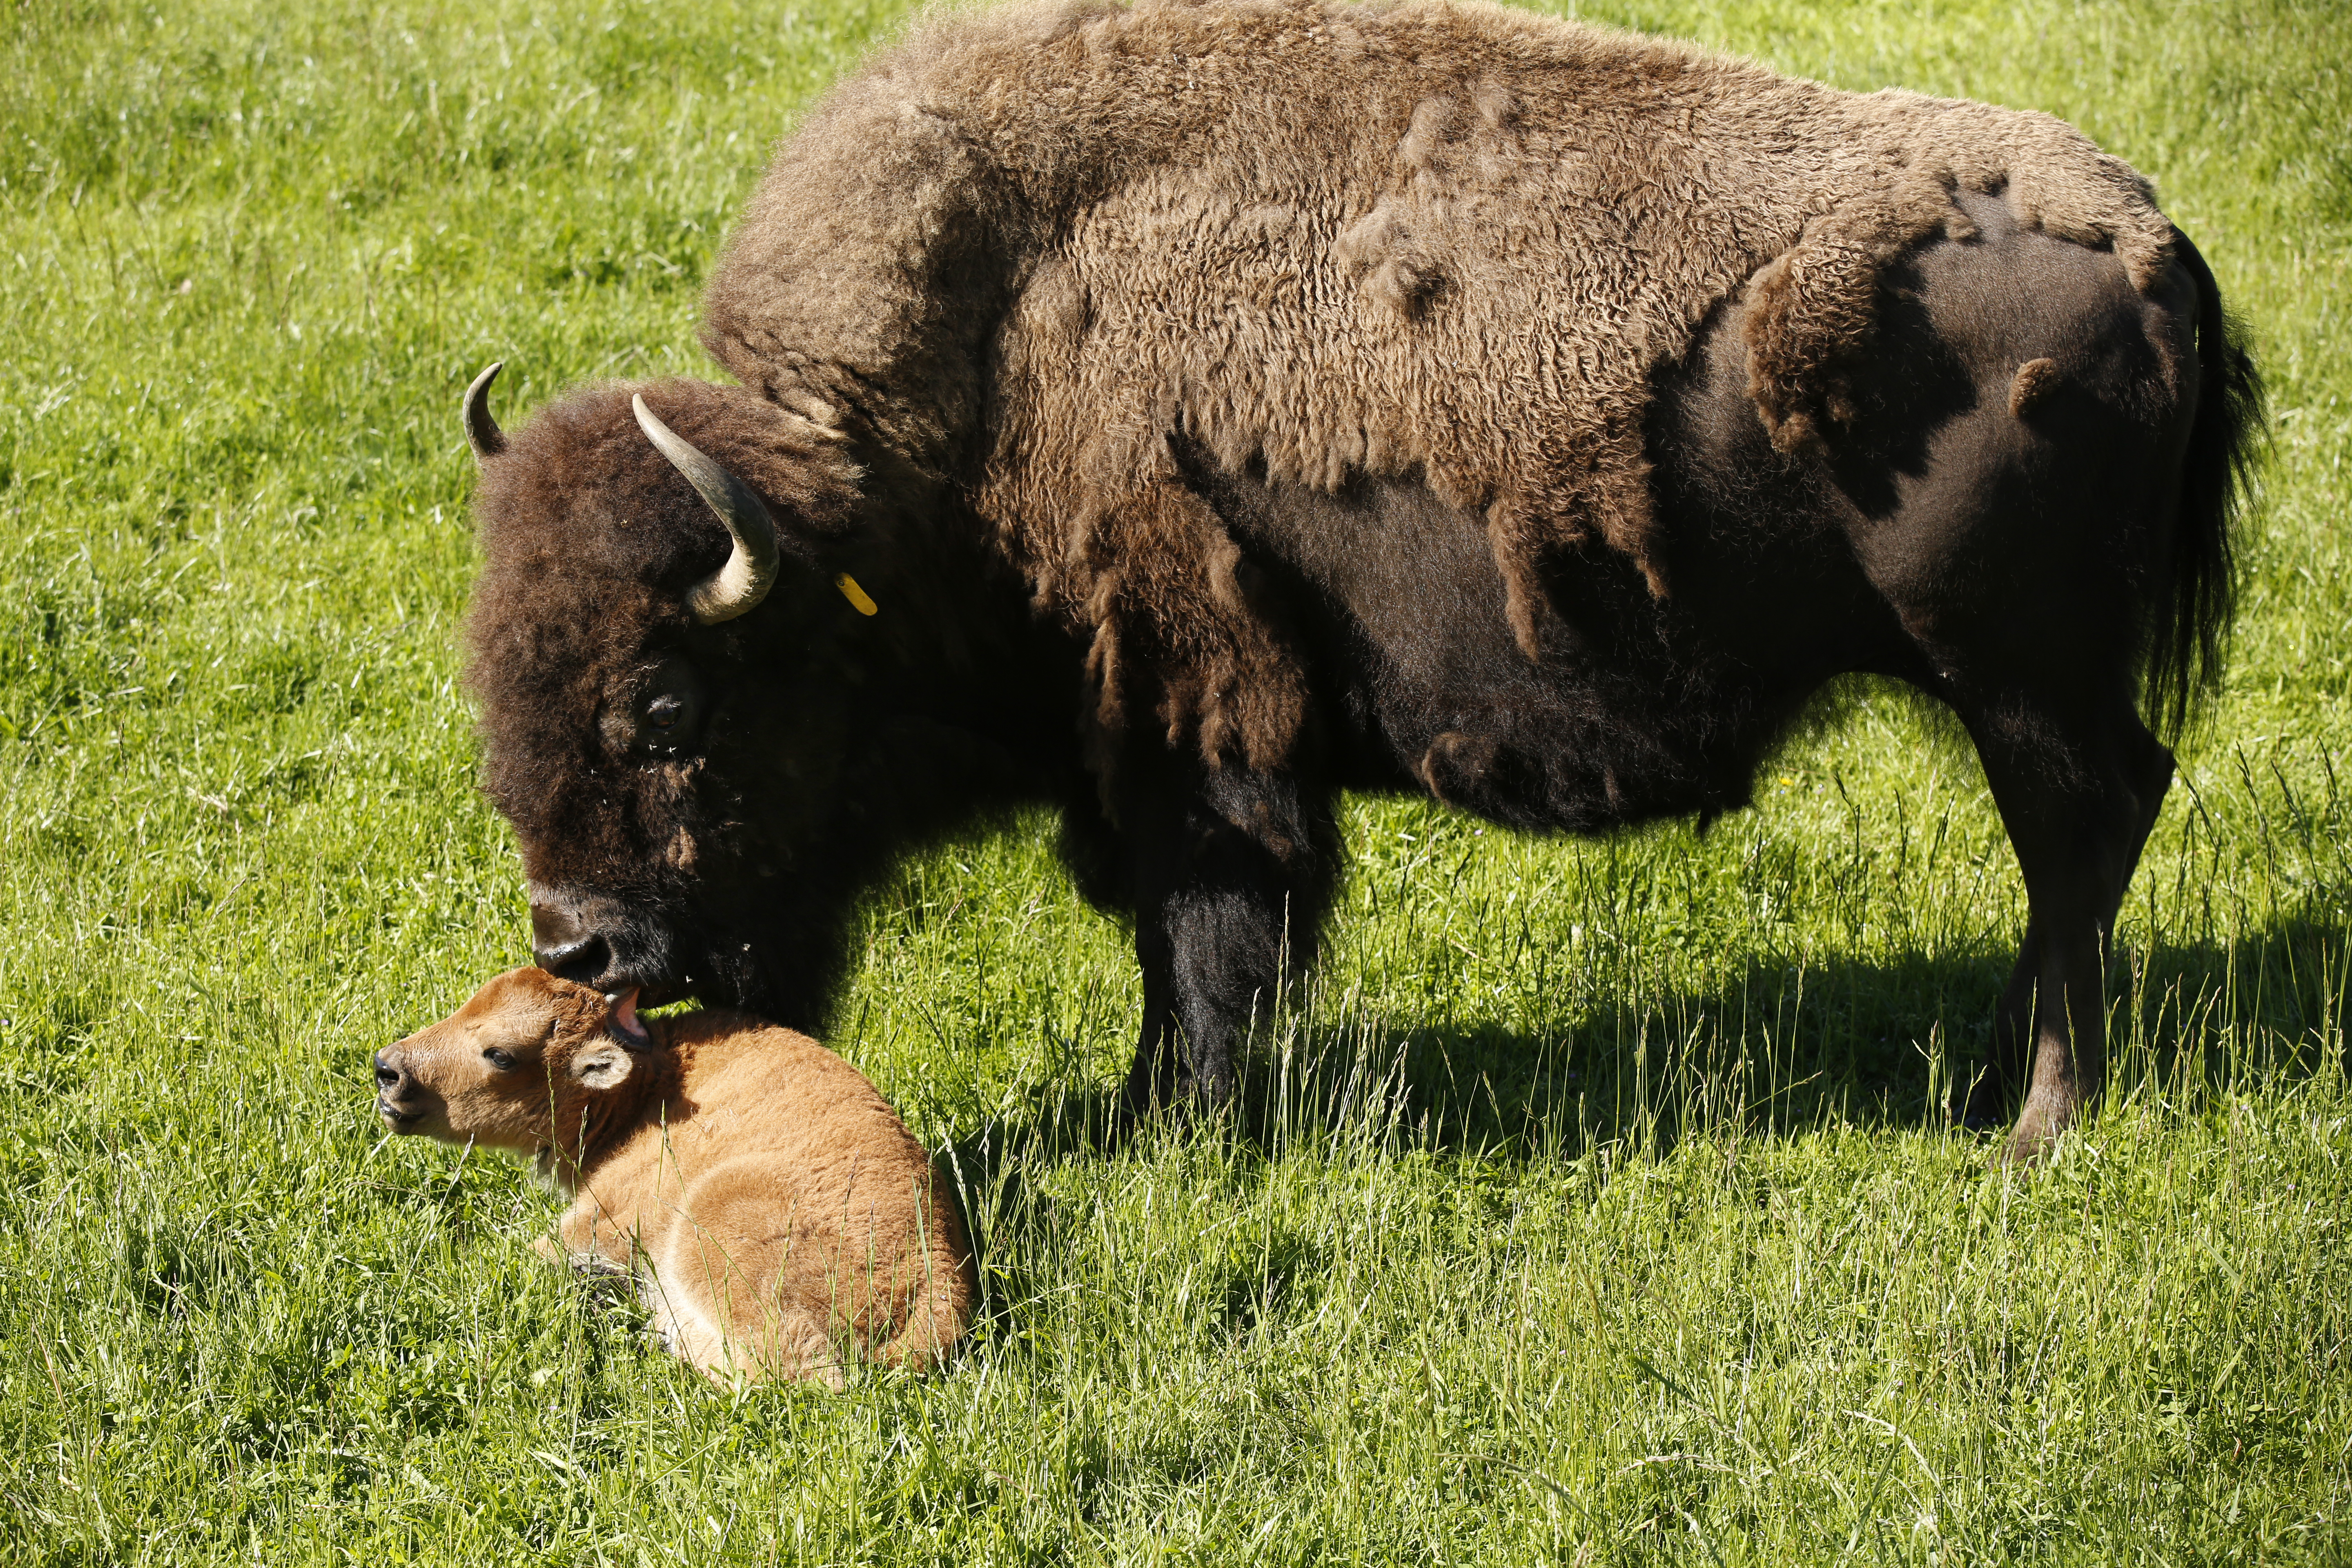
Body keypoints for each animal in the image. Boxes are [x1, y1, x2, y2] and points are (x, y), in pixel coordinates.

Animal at [373, 967, 975, 1385]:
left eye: (500, 1054)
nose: (388, 1070)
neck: (647, 1089)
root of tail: (941, 1293)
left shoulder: (602, 1221)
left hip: (714, 1228)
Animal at [457, 0, 2262, 1165]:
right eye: (494, 692)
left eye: (666, 705)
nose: (581, 946)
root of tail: (2155, 238)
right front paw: (1160, 1116)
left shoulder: (1197, 748)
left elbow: (1205, 945)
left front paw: (1185, 1129)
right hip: (2022, 691)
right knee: (2094, 842)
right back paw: (1993, 1087)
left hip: (2019, 684)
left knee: (2080, 839)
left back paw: (2036, 1125)